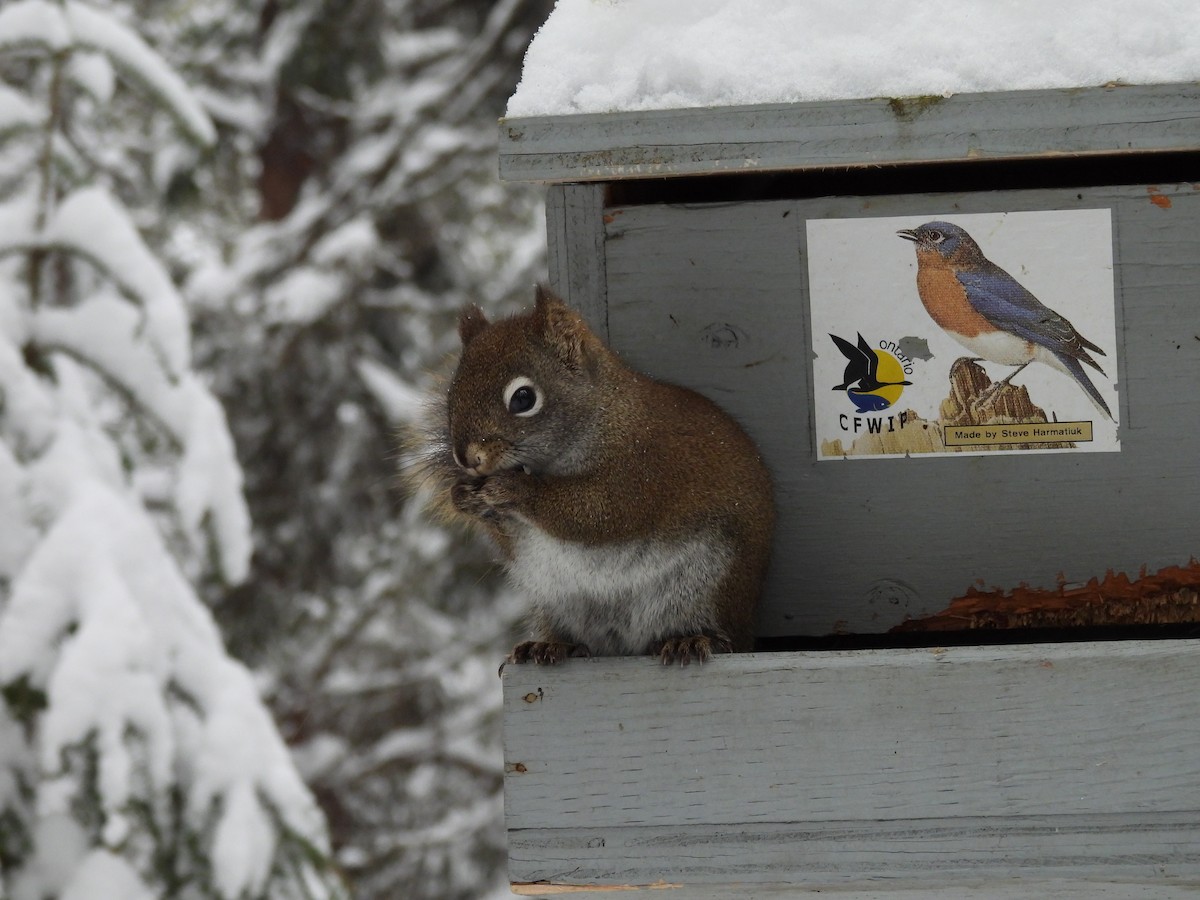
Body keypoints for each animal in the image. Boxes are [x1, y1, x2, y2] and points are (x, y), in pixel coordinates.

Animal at [410, 285, 774, 666]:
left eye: (523, 398)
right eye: (453, 393)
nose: (467, 458)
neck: (608, 417)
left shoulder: (644, 471)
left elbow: (595, 514)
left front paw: (516, 489)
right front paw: (463, 496)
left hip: (704, 588)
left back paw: (691, 640)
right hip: (555, 604)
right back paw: (552, 646)